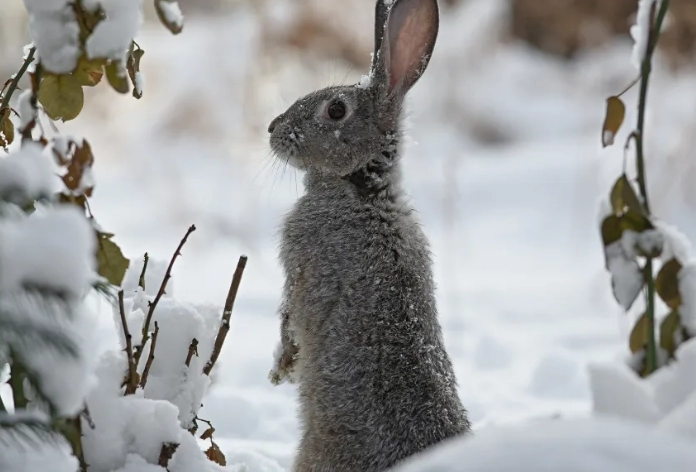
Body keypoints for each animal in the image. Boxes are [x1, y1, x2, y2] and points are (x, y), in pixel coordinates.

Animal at [267, 0, 471, 470]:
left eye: (335, 110)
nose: (272, 129)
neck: (363, 189)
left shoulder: (302, 267)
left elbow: (288, 318)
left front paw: (281, 368)